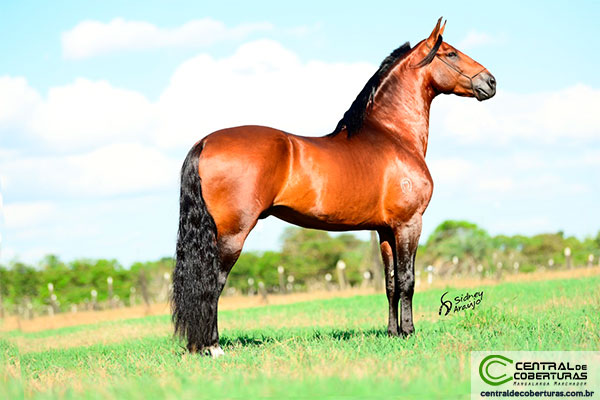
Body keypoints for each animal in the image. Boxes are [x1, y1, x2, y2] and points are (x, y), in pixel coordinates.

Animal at [171, 18, 494, 356]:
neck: (393, 136)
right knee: (213, 283)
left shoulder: (385, 230)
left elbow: (390, 282)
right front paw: (409, 333)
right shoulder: (409, 224)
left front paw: (393, 333)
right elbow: (408, 280)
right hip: (232, 234)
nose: (491, 82)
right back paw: (212, 347)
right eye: (451, 53)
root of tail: (205, 142)